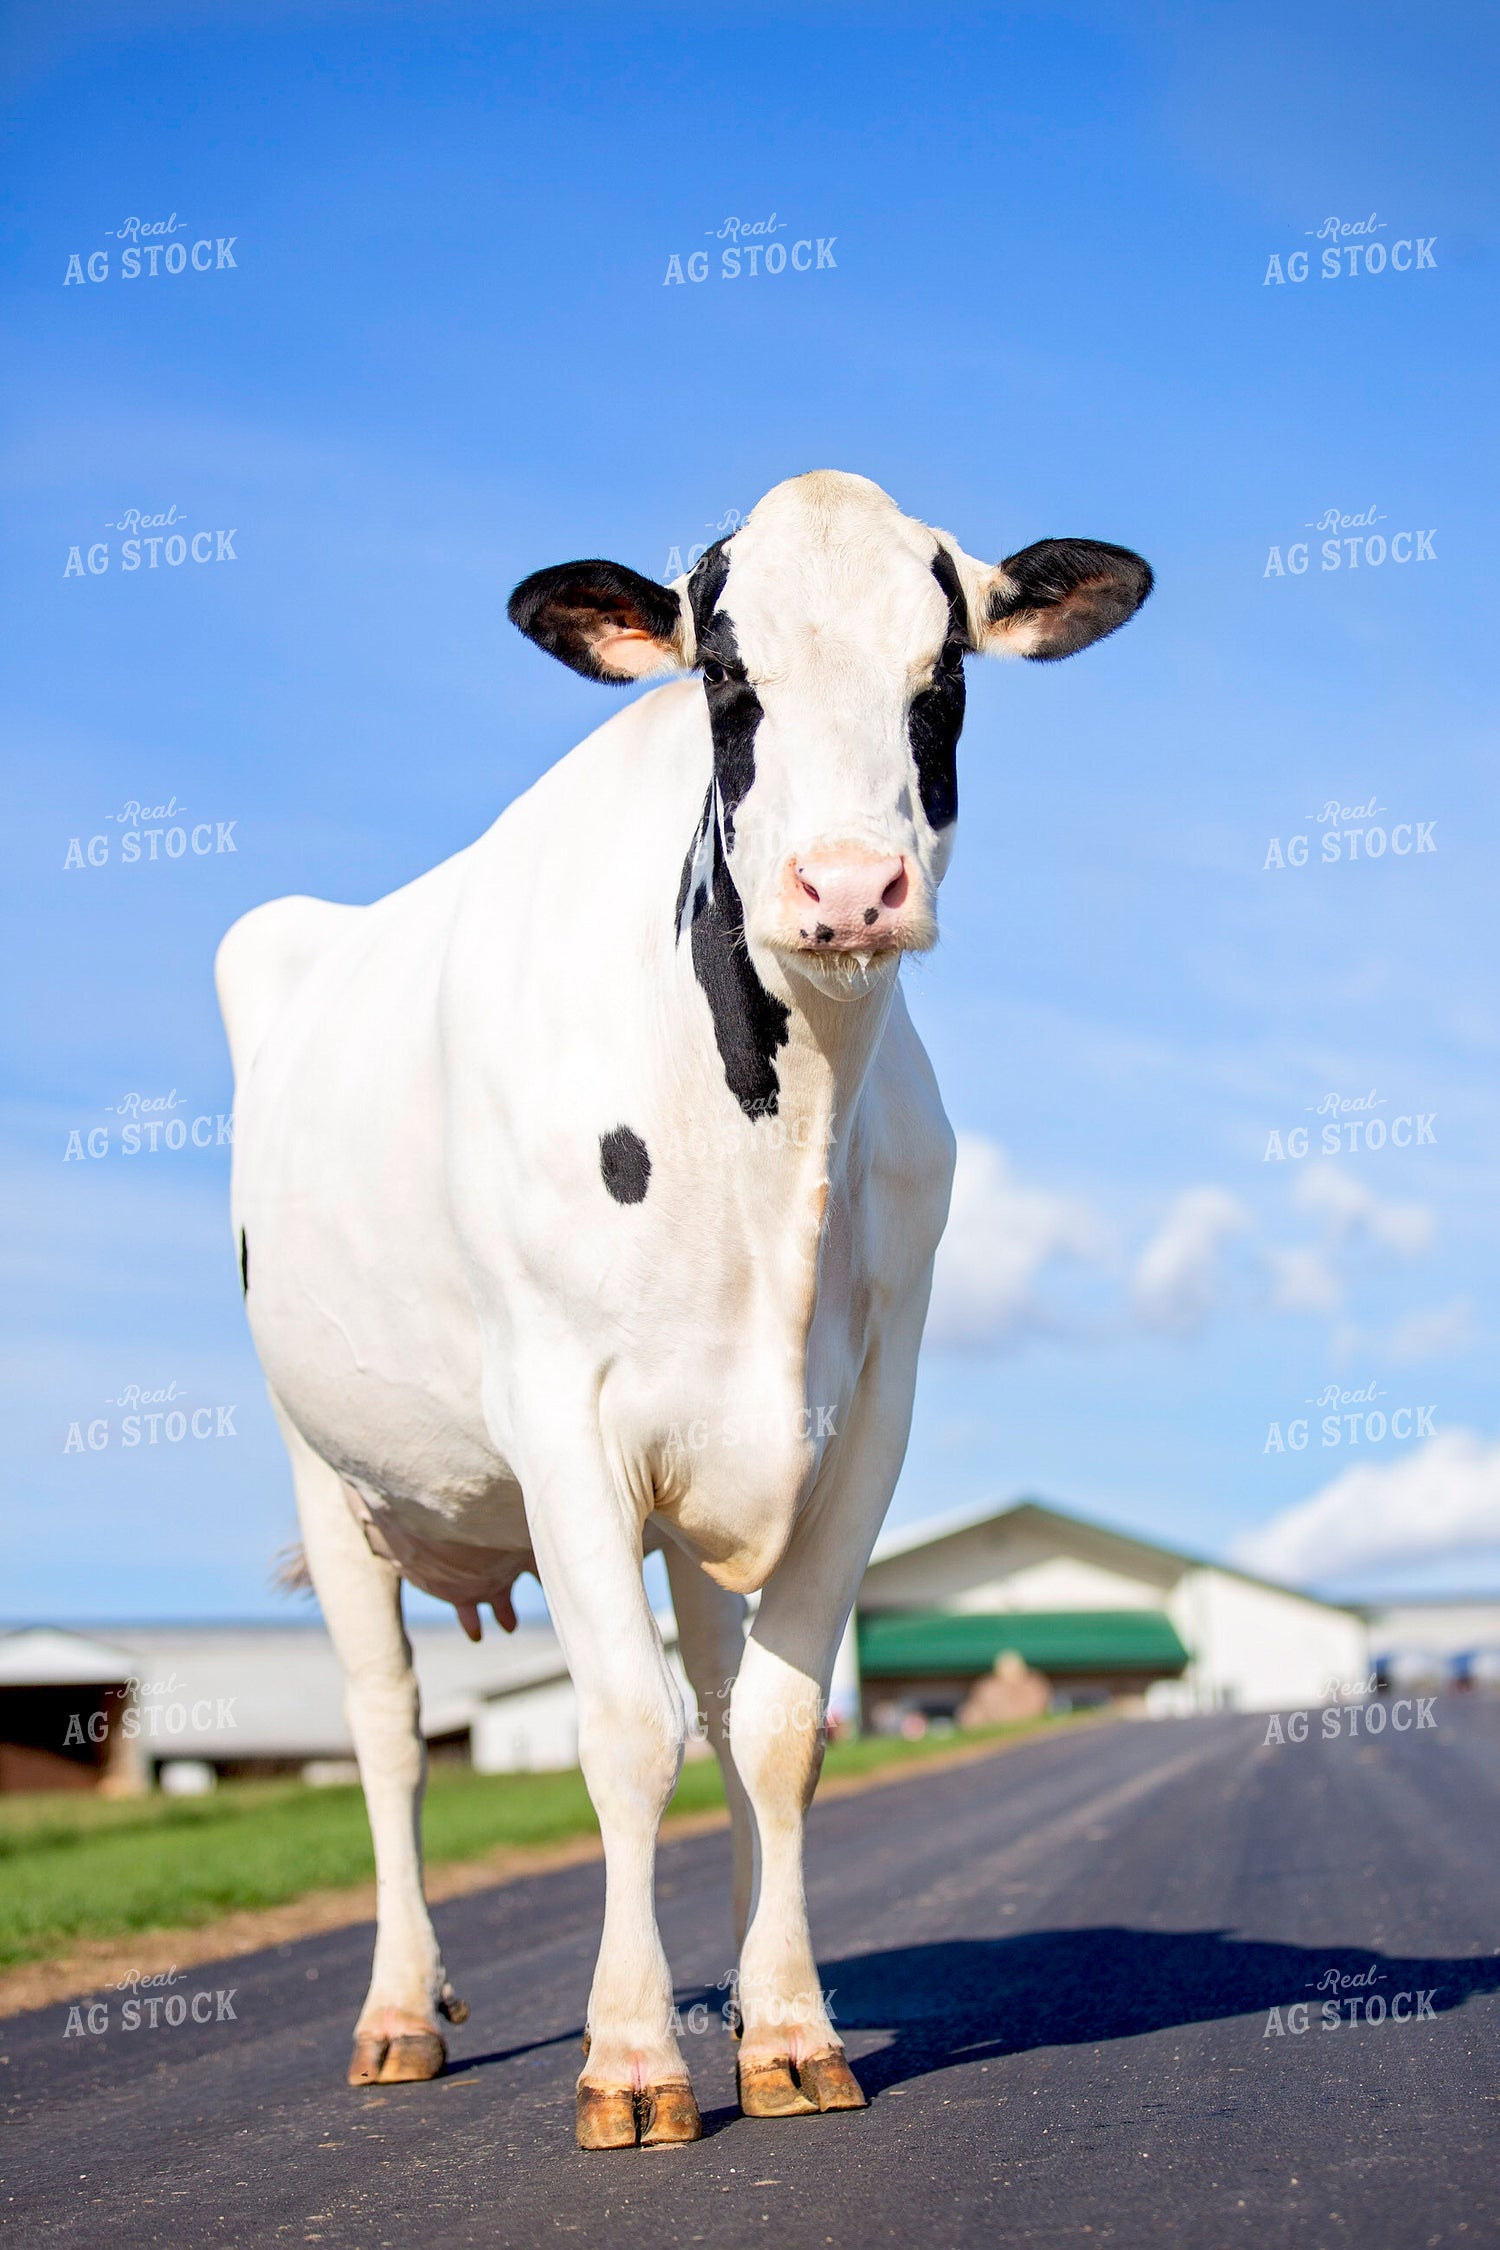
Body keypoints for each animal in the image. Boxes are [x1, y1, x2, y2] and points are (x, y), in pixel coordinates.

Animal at [216, 470, 1151, 2148]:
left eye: (944, 674)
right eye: (726, 677)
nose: (846, 888)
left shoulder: (864, 1420)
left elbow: (774, 1728)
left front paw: (785, 2027)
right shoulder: (560, 1413)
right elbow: (623, 1732)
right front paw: (633, 2055)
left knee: (718, 1698)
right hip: (325, 1466)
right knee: (387, 1728)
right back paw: (400, 2011)